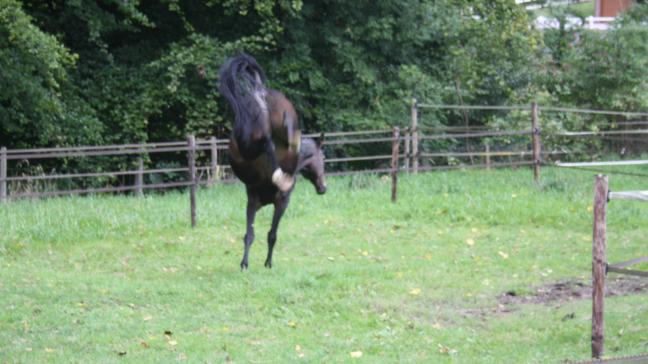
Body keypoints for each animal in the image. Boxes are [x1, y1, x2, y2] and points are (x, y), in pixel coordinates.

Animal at [219, 52, 330, 268]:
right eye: (323, 157)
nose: (323, 188)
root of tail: (259, 94)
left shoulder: (252, 201)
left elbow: (249, 234)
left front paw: (245, 263)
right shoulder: (282, 202)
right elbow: (272, 234)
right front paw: (268, 263)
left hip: (239, 145)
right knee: (271, 141)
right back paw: (280, 173)